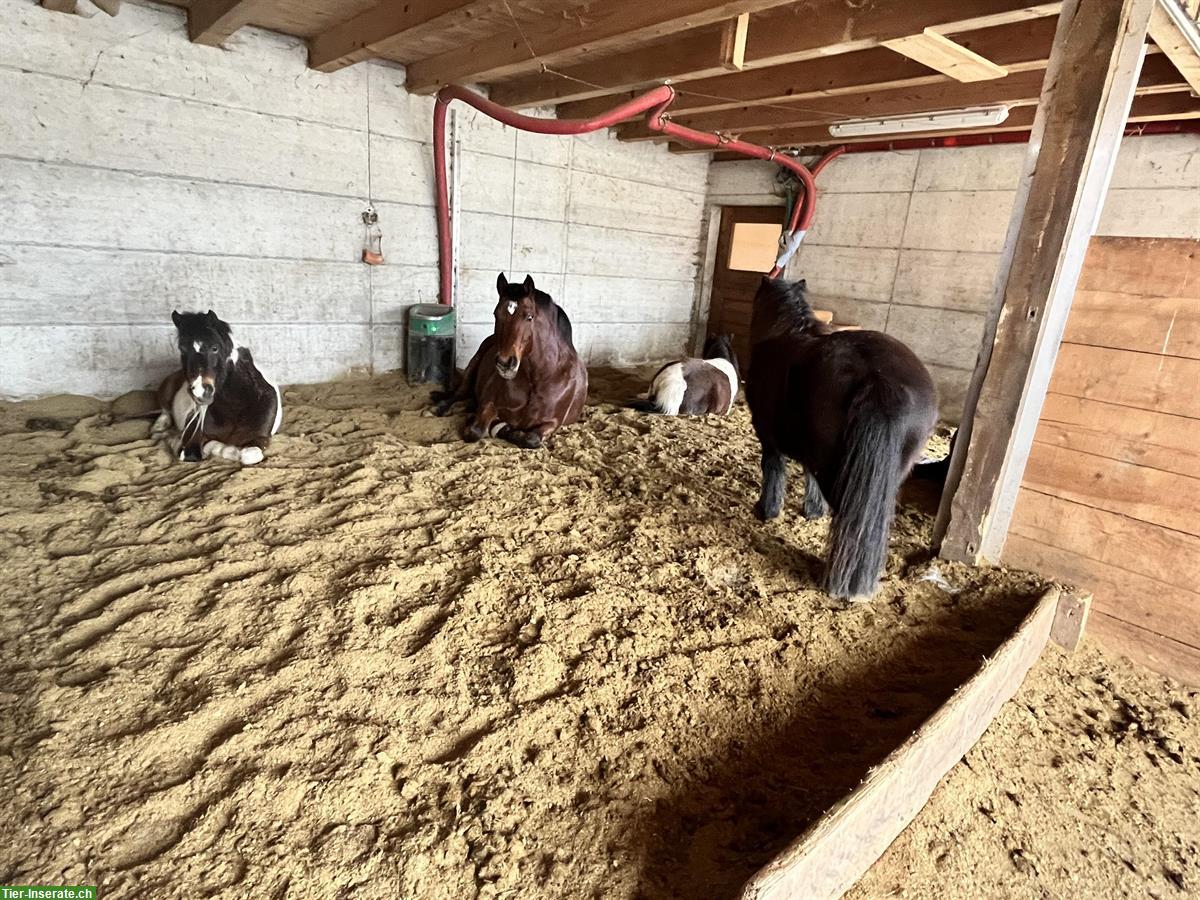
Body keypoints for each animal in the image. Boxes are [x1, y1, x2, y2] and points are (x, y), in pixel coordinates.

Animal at [153, 309, 282, 465]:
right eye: (182, 349)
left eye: (215, 348)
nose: (201, 392)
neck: (237, 405)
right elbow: (193, 452)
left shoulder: (260, 437)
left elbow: (248, 455)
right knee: (165, 411)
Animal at [434, 271, 588, 448]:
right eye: (496, 314)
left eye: (529, 317)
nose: (505, 363)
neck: (537, 379)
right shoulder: (489, 404)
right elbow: (475, 431)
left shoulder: (553, 423)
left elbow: (531, 439)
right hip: (471, 369)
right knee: (458, 394)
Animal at [748, 278, 936, 602]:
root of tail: (879, 380)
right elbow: (808, 476)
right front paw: (813, 512)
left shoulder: (769, 439)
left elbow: (773, 471)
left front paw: (766, 511)